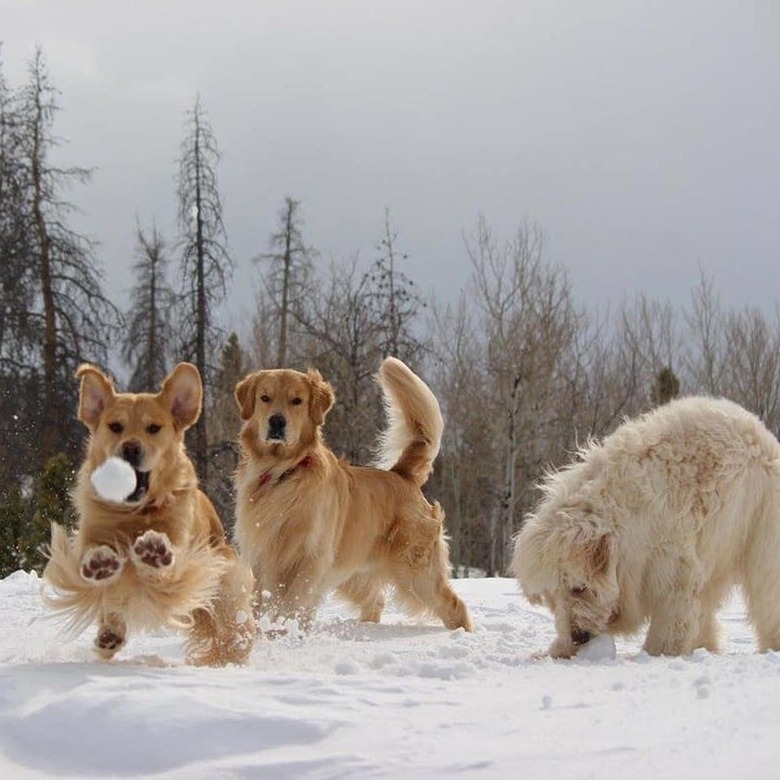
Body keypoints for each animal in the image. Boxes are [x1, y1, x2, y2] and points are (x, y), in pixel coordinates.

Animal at [508, 396, 780, 660]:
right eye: (551, 596)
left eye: (579, 588)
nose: (578, 636)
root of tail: (761, 430)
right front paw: (556, 651)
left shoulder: (669, 557)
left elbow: (673, 609)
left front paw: (661, 652)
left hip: (761, 526)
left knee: (767, 589)